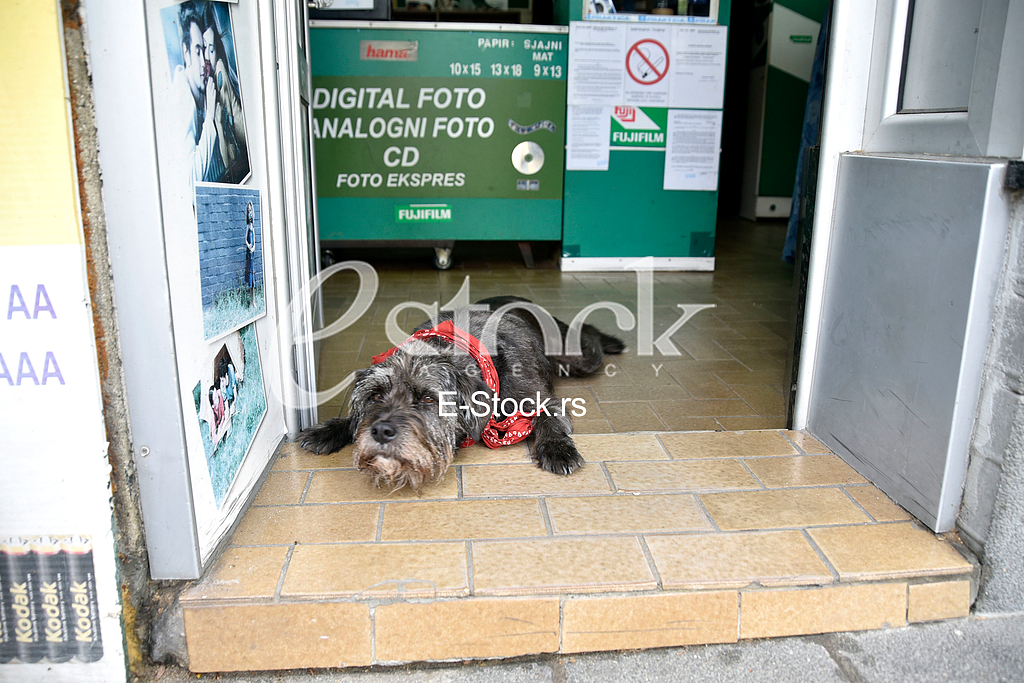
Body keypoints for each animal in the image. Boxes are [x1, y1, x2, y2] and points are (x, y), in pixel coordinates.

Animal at [296, 296, 622, 489]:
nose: (381, 431)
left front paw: (557, 448)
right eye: (375, 395)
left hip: (578, 357)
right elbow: (352, 419)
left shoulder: (540, 397)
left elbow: (550, 417)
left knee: (589, 335)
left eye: (428, 398)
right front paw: (328, 430)